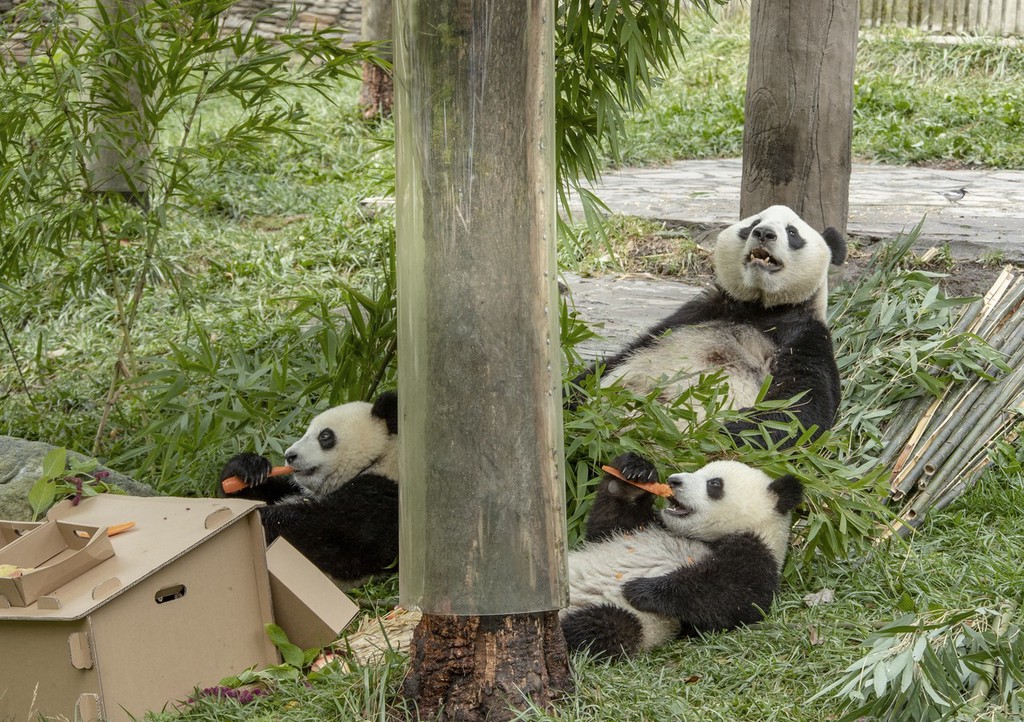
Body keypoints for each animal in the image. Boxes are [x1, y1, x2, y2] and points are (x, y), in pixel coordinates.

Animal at [220, 389, 399, 585]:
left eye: (325, 436)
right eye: (306, 432)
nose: (289, 455)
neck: (381, 459)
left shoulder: (378, 503)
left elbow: (318, 535)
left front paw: (261, 520)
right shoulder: (292, 487)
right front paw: (249, 468)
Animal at [565, 452, 802, 655]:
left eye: (714, 484)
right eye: (698, 470)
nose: (673, 481)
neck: (704, 538)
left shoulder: (759, 555)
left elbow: (727, 595)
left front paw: (640, 589)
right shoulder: (636, 529)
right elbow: (607, 525)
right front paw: (634, 472)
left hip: (629, 620)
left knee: (600, 627)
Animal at [577, 203, 847, 444]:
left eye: (792, 232)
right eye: (753, 224)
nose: (764, 233)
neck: (761, 307)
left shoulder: (804, 335)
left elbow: (800, 408)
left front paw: (717, 431)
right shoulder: (696, 314)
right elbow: (620, 357)